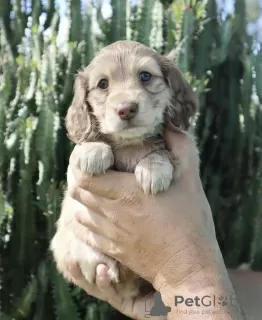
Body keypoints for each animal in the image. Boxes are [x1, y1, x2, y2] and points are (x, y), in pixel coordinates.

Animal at [50, 40, 196, 298]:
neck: (130, 144)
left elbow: (162, 152)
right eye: (103, 84)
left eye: (145, 76)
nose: (126, 109)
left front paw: (153, 169)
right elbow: (85, 145)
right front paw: (92, 151)